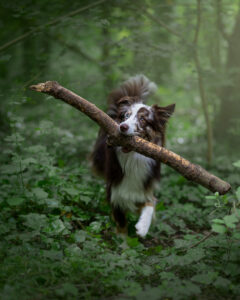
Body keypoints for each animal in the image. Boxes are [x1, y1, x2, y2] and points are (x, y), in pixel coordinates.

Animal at [91, 74, 174, 237]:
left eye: (143, 119)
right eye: (126, 116)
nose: (122, 127)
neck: (134, 159)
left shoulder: (145, 188)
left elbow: (150, 204)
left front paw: (142, 228)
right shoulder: (116, 194)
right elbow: (122, 229)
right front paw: (123, 243)